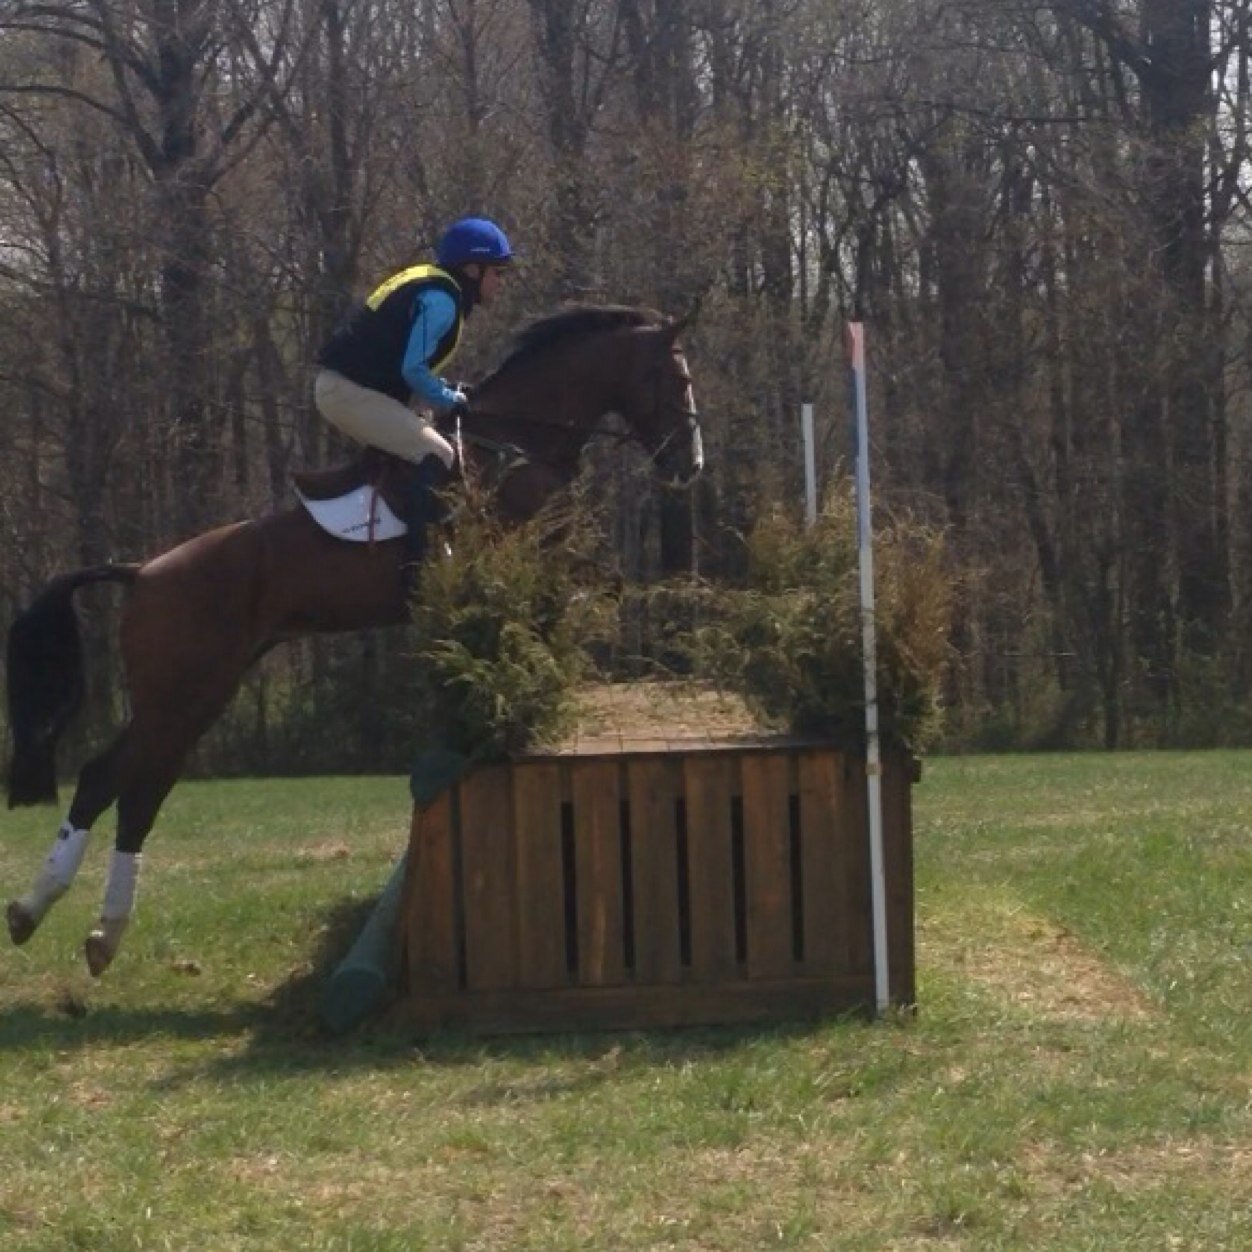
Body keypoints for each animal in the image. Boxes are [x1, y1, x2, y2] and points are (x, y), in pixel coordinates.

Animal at [5, 304, 704, 977]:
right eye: (675, 380)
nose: (688, 465)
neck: (519, 442)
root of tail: (142, 571)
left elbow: (603, 587)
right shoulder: (530, 550)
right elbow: (598, 588)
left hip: (198, 694)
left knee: (129, 787)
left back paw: (81, 928)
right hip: (180, 692)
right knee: (116, 782)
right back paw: (55, 917)